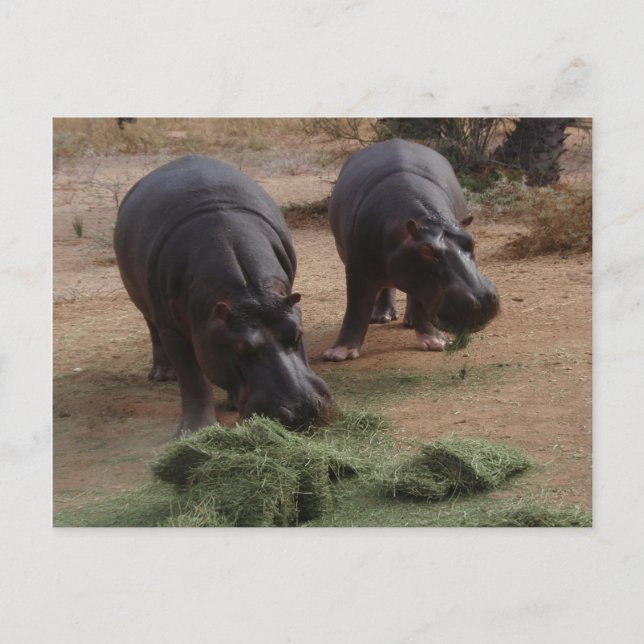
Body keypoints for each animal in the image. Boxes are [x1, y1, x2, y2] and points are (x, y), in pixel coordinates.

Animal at [114, 155, 335, 435]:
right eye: (242, 349)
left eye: (297, 333)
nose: (302, 410)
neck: (249, 295)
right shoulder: (173, 331)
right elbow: (192, 379)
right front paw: (194, 430)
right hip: (144, 303)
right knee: (152, 329)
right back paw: (163, 375)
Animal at [323, 139, 499, 361]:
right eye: (426, 250)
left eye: (472, 241)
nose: (482, 300)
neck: (428, 219)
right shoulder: (358, 270)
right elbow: (356, 309)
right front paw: (339, 354)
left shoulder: (420, 278)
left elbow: (419, 304)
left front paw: (435, 343)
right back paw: (381, 317)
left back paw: (410, 321)